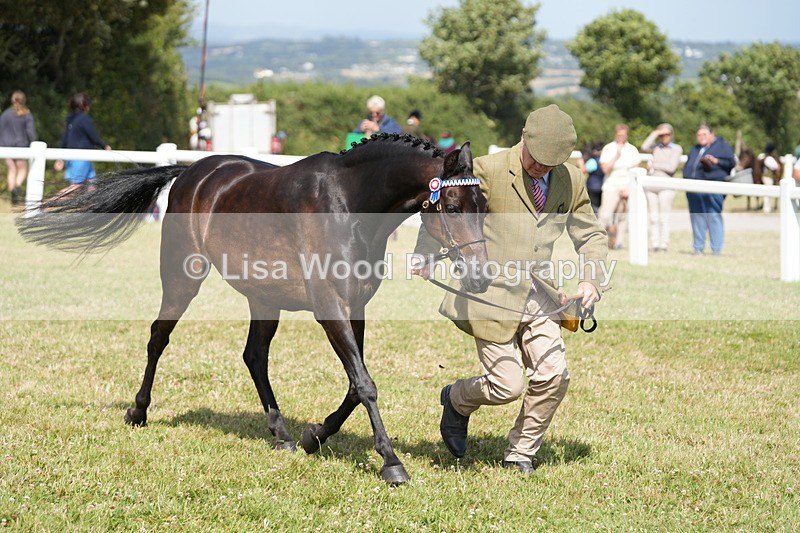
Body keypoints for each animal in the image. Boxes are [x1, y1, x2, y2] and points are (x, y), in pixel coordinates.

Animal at [16, 133, 491, 485]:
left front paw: (314, 436)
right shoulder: (329, 307)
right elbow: (364, 383)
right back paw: (138, 411)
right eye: (451, 207)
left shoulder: (355, 306)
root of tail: (192, 172)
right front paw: (391, 462)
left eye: (483, 206)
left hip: (263, 297)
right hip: (183, 279)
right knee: (158, 338)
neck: (348, 204)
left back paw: (280, 433)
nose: (481, 277)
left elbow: (355, 385)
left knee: (254, 356)